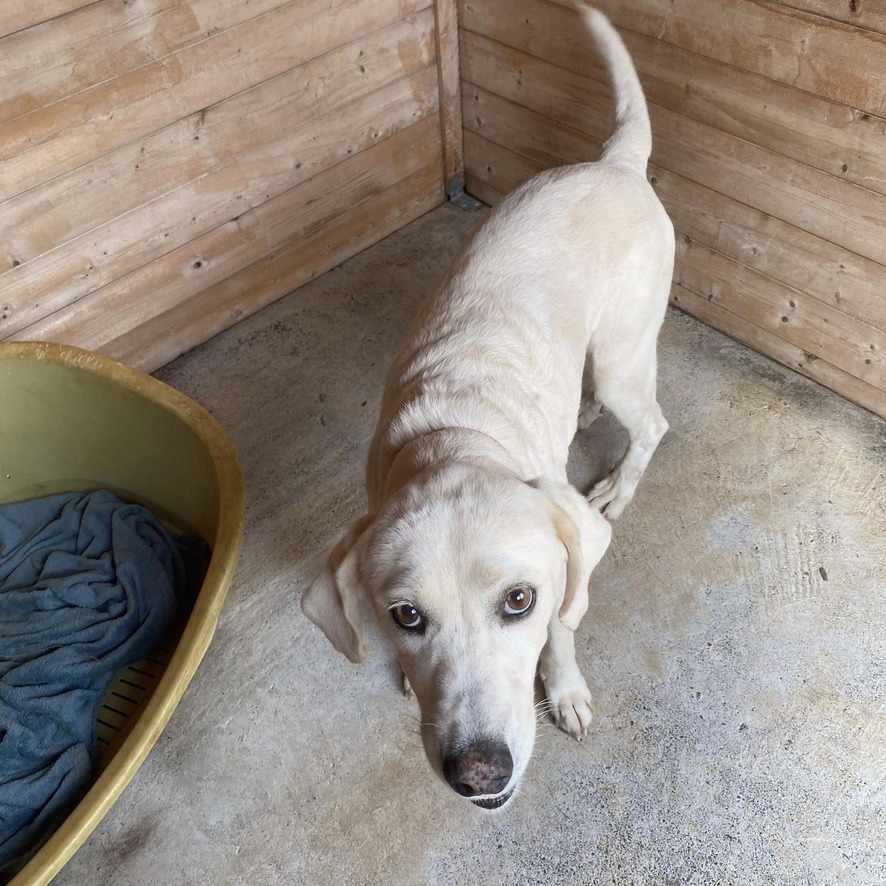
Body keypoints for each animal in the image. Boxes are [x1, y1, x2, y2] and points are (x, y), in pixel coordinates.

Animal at [302, 5, 676, 812]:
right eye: (406, 616)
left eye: (519, 600)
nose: (477, 773)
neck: (456, 437)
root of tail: (614, 164)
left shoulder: (562, 584)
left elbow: (565, 628)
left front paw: (564, 689)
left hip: (623, 357)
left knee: (652, 423)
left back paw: (618, 484)